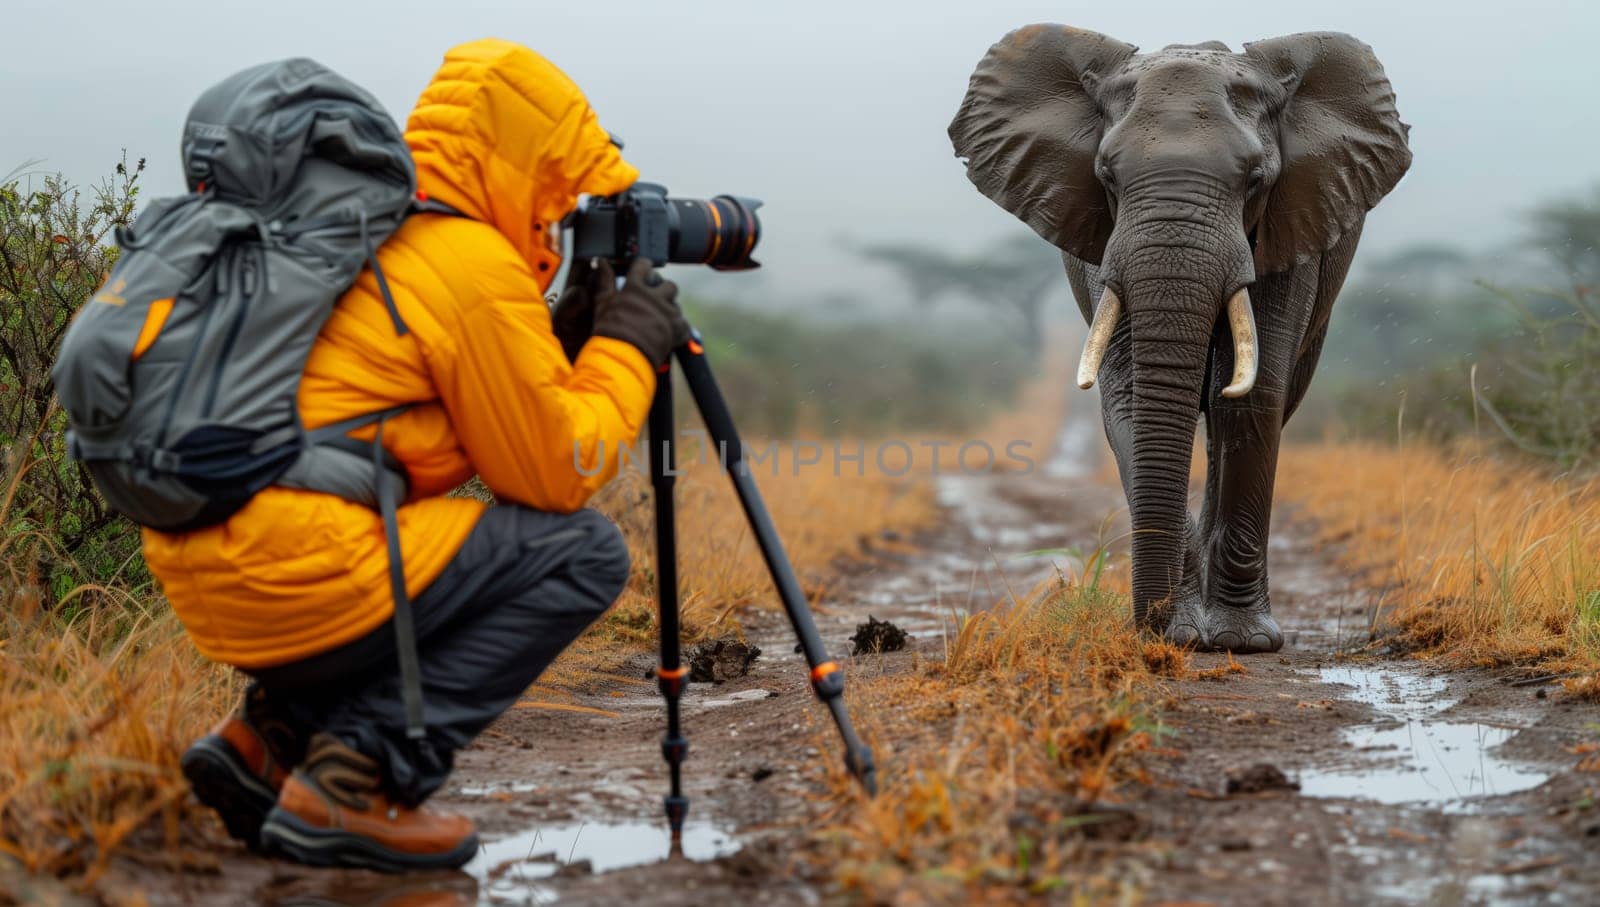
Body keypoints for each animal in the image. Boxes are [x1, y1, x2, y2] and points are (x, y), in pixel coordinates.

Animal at [947, 28, 1414, 652]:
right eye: (1107, 176)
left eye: (1256, 180)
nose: (1155, 629)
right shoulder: (1100, 240)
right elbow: (1130, 394)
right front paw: (1186, 633)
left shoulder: (1290, 226)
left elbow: (1253, 396)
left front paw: (1242, 642)